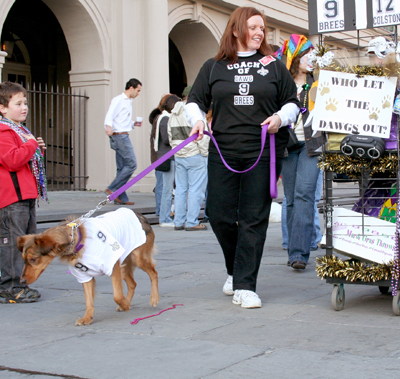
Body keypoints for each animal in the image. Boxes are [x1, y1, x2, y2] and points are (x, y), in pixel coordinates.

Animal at [16, 208, 159, 326]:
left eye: (33, 259)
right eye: (23, 259)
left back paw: (154, 298)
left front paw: (125, 303)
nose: (21, 281)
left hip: (138, 258)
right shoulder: (84, 275)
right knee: (132, 284)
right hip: (123, 262)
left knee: (153, 273)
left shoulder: (112, 266)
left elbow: (117, 295)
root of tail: (139, 214)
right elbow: (89, 301)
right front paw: (87, 318)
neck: (76, 239)